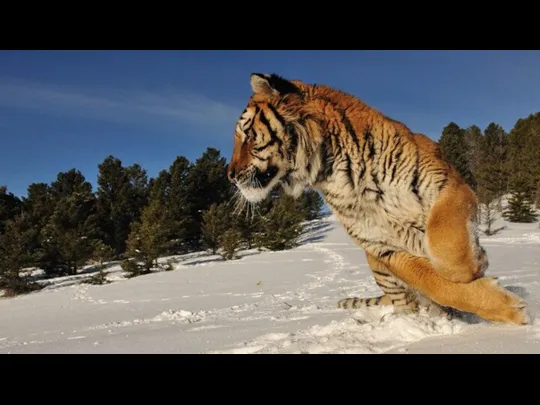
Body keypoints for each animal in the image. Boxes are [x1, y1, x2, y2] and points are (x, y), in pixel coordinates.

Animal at [226, 72, 528, 326]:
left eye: (248, 135)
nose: (230, 175)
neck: (336, 172)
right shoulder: (380, 246)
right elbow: (432, 279)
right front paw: (506, 307)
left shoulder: (446, 185)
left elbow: (445, 245)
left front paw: (477, 265)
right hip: (378, 269)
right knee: (408, 303)